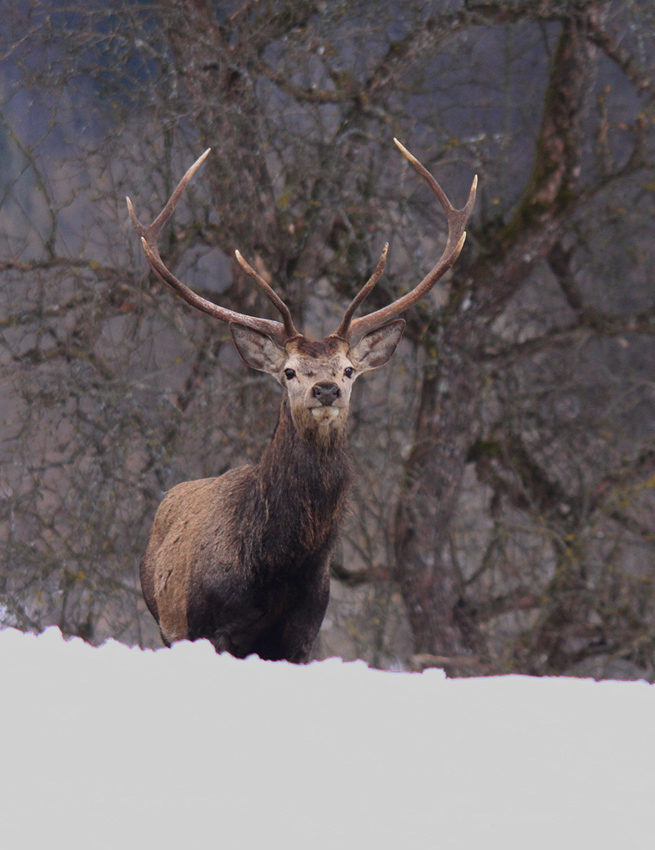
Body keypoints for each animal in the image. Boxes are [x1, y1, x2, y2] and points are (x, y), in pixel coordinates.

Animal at [128, 139, 476, 660]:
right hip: (166, 623)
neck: (279, 570)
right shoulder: (210, 626)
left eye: (349, 370)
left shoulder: (303, 634)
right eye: (289, 371)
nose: (325, 388)